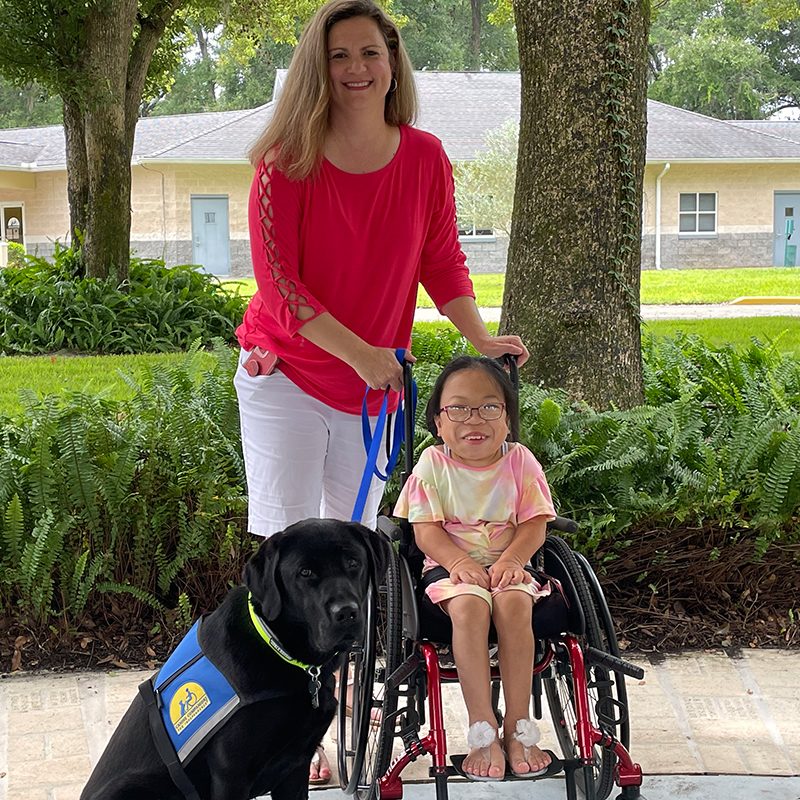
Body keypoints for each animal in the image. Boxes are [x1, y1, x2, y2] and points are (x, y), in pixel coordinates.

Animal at [81, 520, 390, 800]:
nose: (347, 613)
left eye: (353, 562)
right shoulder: (232, 773)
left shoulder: (295, 766)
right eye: (305, 572)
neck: (283, 653)